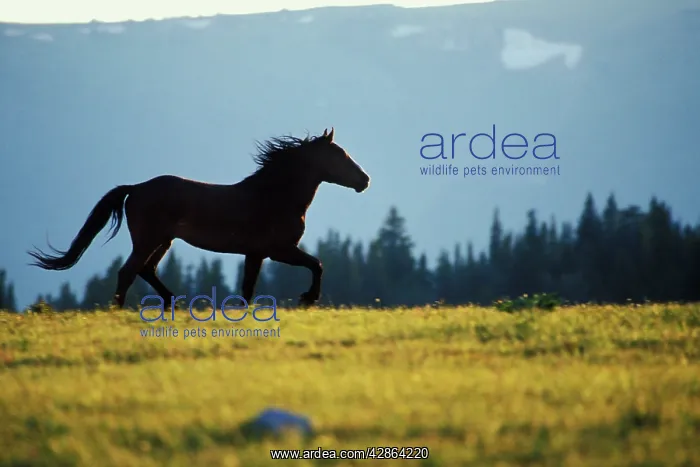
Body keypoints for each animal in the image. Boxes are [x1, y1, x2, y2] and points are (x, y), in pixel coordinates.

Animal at [28, 128, 370, 308]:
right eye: (340, 156)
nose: (364, 180)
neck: (274, 197)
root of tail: (135, 188)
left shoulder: (256, 253)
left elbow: (248, 287)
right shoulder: (279, 250)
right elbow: (317, 263)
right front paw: (308, 298)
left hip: (164, 240)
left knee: (146, 270)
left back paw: (173, 303)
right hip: (149, 239)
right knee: (128, 271)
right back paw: (119, 311)